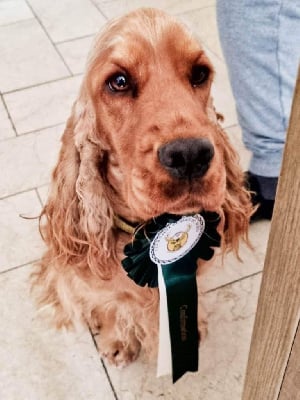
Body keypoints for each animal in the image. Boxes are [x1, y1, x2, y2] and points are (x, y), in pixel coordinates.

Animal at [32, 7, 253, 368]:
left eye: (200, 73)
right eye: (119, 82)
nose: (190, 154)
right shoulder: (106, 289)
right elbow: (113, 308)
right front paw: (119, 343)